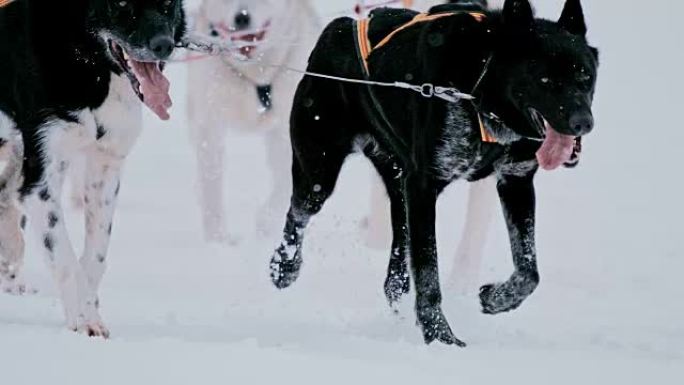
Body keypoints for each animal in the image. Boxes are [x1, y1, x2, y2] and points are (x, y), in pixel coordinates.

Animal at [0, 0, 187, 336]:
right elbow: (65, 258)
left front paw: (90, 311)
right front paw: (84, 321)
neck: (91, 67)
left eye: (167, 5)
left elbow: (95, 257)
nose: (163, 45)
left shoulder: (105, 166)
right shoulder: (42, 178)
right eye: (121, 4)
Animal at [184, 0, 318, 242]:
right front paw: (217, 238)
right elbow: (211, 178)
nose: (242, 18)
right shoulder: (209, 121)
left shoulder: (289, 128)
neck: (255, 71)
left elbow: (284, 180)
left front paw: (266, 221)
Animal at [268, 0, 600, 344]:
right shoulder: (424, 187)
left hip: (399, 187)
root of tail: (339, 26)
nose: (583, 123)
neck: (480, 87)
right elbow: (428, 270)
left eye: (585, 77)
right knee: (298, 212)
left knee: (398, 255)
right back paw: (284, 266)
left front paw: (497, 299)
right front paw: (440, 336)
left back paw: (397, 292)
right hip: (319, 171)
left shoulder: (516, 181)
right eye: (544, 80)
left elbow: (529, 271)